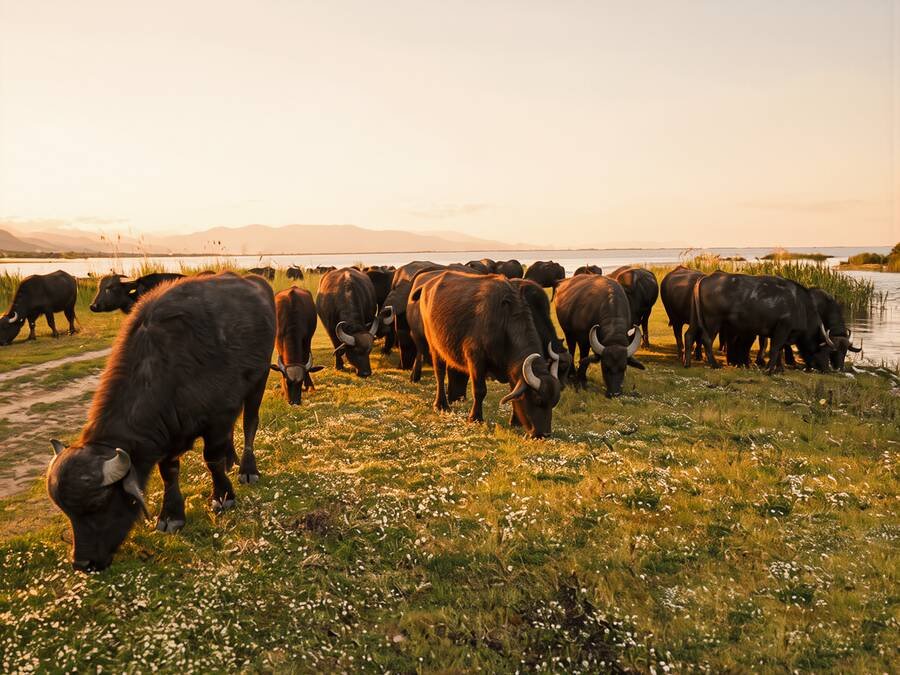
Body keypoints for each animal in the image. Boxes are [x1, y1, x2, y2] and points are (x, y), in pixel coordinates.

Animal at [47, 273, 275, 571]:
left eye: (99, 504)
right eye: (67, 512)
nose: (83, 563)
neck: (169, 368)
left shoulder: (219, 415)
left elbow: (211, 458)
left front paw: (223, 496)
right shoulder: (169, 433)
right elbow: (169, 471)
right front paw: (171, 515)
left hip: (259, 380)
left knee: (249, 424)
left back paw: (247, 468)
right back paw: (231, 460)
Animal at [410, 271, 561, 438]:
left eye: (554, 403)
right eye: (537, 400)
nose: (544, 434)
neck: (504, 321)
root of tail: (428, 284)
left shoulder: (511, 369)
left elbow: (513, 392)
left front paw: (515, 421)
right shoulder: (476, 359)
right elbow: (480, 390)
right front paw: (475, 418)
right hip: (434, 346)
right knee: (440, 374)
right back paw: (441, 405)